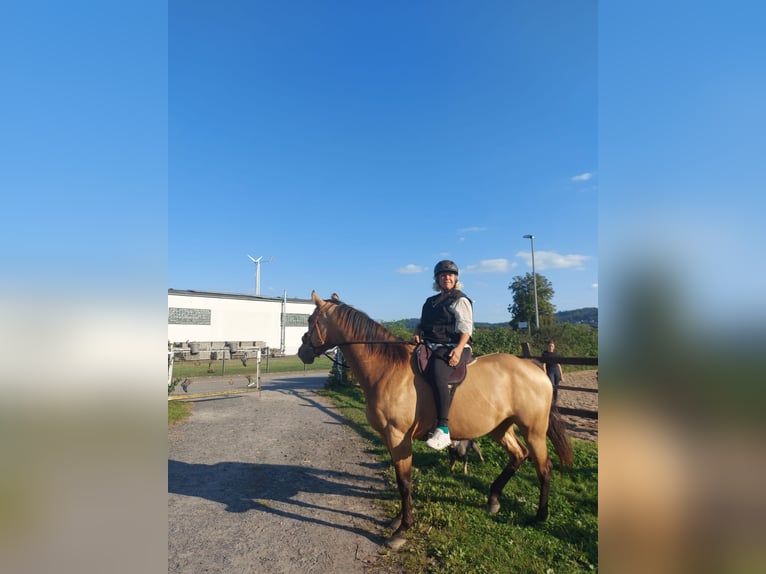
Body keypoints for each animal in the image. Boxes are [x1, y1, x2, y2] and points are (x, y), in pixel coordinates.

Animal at [296, 294, 572, 552]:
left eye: (311, 320)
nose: (302, 352)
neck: (388, 369)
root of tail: (534, 367)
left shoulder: (398, 436)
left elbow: (404, 481)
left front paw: (402, 530)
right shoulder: (390, 438)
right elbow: (401, 478)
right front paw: (399, 520)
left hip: (533, 430)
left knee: (543, 467)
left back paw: (540, 516)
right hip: (500, 428)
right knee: (518, 455)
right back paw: (493, 499)